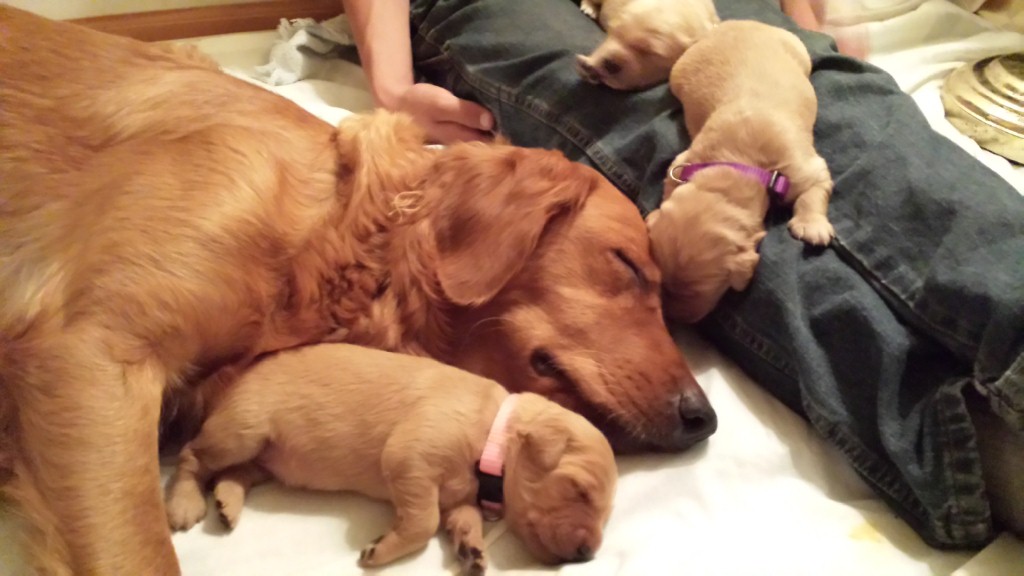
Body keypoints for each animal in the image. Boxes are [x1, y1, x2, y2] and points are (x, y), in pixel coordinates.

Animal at [163, 340, 618, 569]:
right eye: (579, 490)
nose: (588, 556)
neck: (493, 435)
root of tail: (239, 377)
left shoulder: (458, 498)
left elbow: (463, 518)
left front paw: (472, 548)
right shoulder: (410, 457)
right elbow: (422, 521)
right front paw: (380, 550)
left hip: (265, 458)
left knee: (233, 473)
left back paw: (227, 503)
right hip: (242, 429)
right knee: (191, 456)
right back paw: (184, 503)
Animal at [647, 19, 831, 323]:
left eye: (694, 290)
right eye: (661, 281)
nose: (672, 319)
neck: (739, 164)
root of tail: (734, 23)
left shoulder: (806, 168)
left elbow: (814, 193)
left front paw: (811, 226)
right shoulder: (684, 161)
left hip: (796, 48)